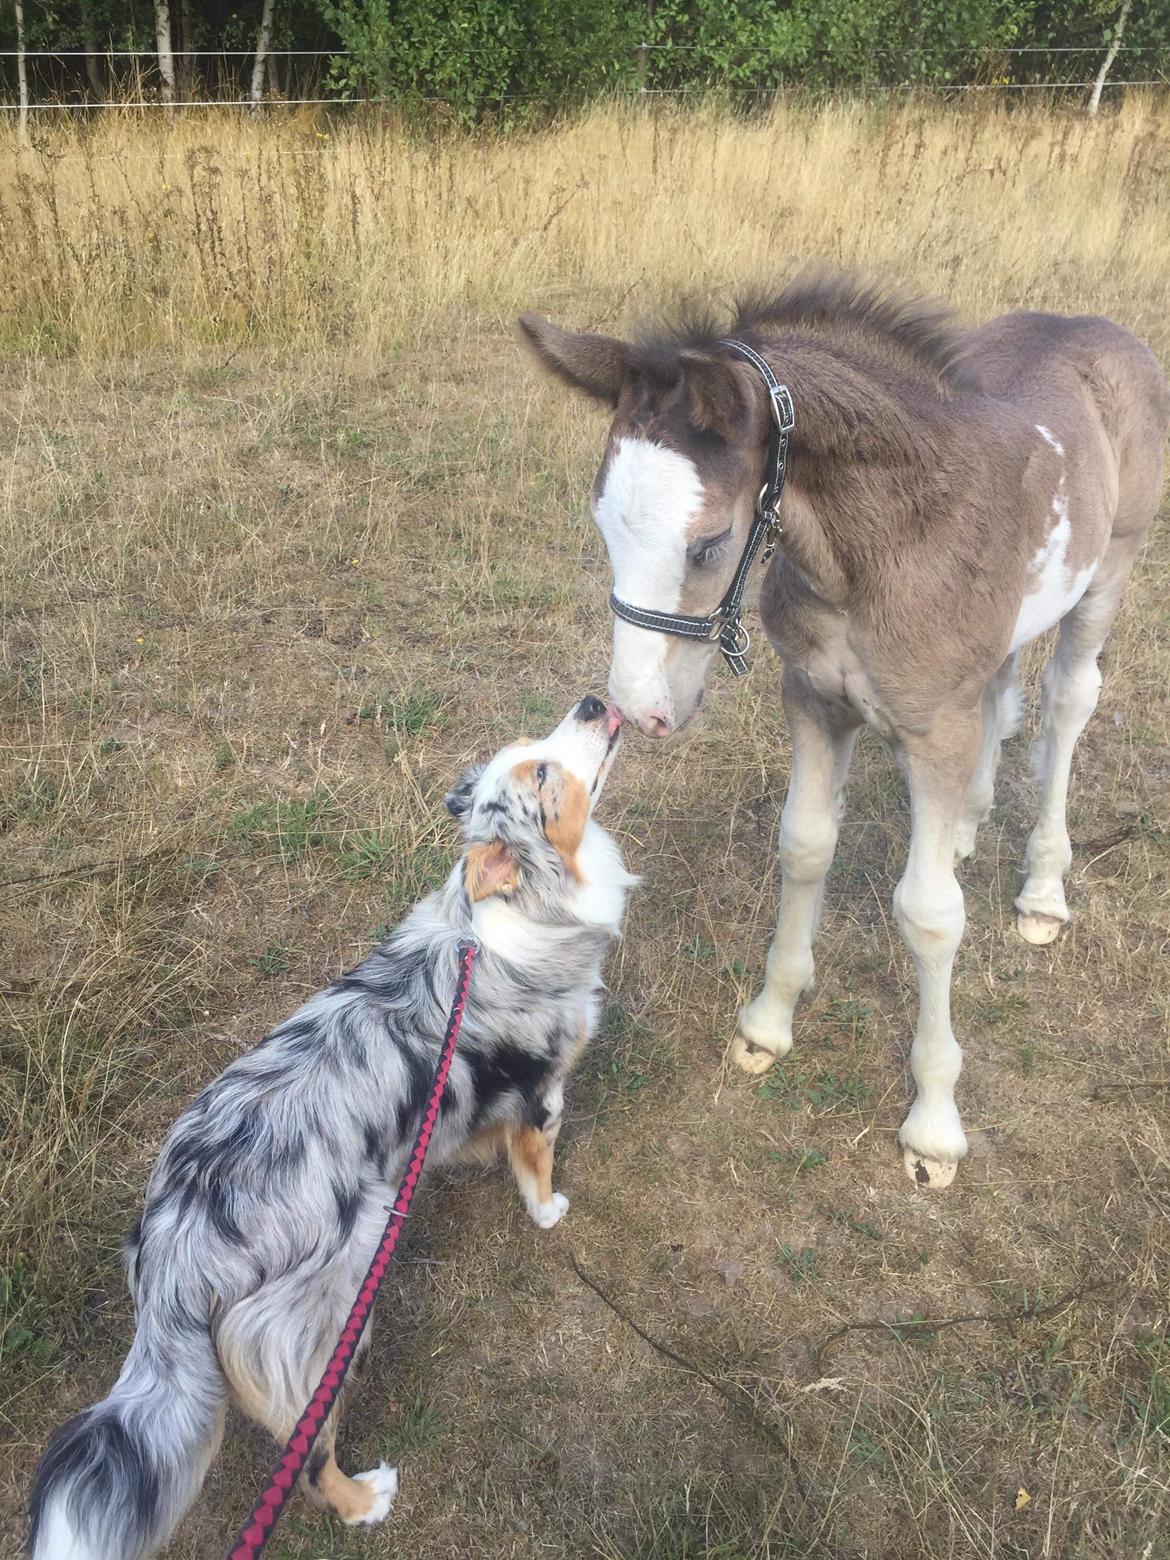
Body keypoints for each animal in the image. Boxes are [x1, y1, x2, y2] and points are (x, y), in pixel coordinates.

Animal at [27, 698, 633, 1560]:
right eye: (545, 777)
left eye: (534, 749)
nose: (592, 702)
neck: (505, 917)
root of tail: (178, 1238)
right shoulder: (544, 1085)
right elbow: (537, 1158)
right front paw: (548, 1210)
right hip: (329, 1313)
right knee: (305, 1450)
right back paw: (362, 1499)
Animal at [524, 274, 1170, 1185]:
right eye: (602, 523)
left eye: (709, 543)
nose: (637, 707)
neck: (888, 541)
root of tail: (1090, 324)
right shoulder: (814, 700)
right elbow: (804, 845)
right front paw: (768, 1022)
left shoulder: (933, 730)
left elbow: (929, 913)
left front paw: (933, 1124)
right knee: (1003, 688)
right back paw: (965, 828)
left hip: (1109, 573)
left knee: (1069, 698)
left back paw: (1044, 887)